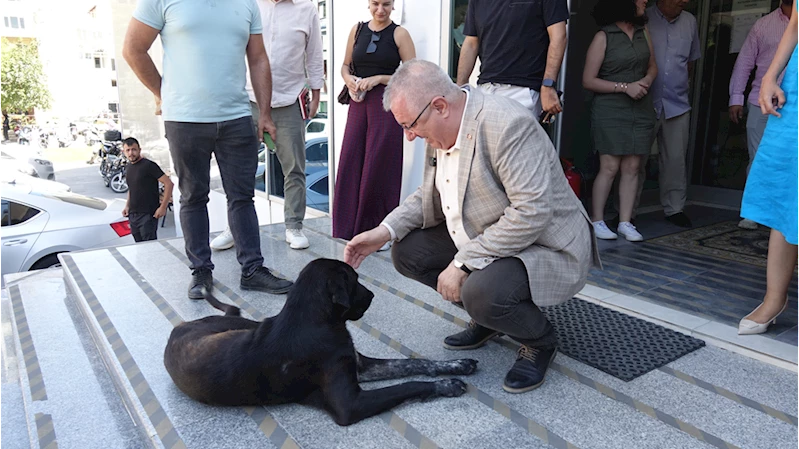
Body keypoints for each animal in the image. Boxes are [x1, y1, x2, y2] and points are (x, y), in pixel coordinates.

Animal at [162, 258, 476, 426]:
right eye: (354, 279)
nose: (373, 295)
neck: (314, 321)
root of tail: (178, 330)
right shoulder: (350, 404)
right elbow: (407, 385)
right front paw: (445, 385)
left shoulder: (359, 366)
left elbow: (414, 364)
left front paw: (455, 366)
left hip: (246, 325)